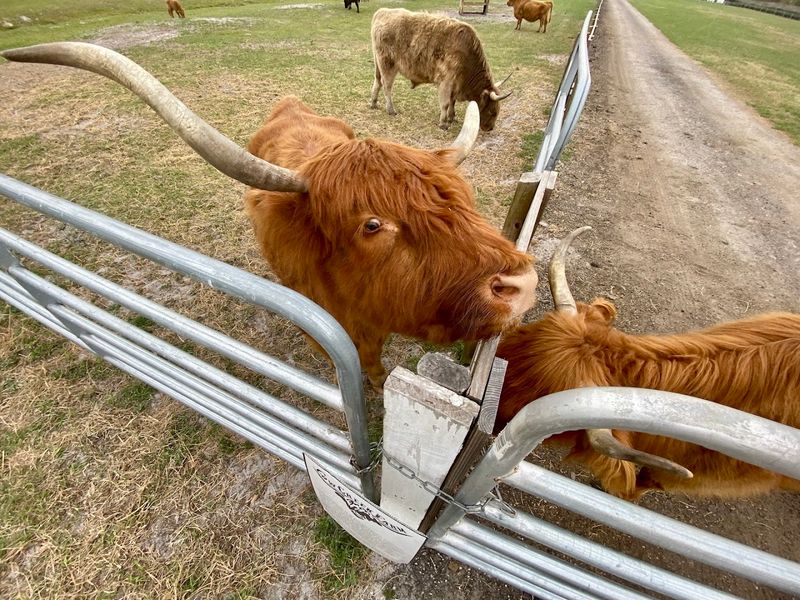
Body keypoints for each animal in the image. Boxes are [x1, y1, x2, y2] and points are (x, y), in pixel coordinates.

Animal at [370, 8, 512, 131]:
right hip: (388, 65)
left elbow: (452, 101)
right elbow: (446, 103)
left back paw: (373, 103)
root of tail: (382, 12)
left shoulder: (455, 84)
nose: (490, 128)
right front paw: (443, 123)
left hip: (378, 64)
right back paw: (391, 110)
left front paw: (452, 117)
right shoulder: (446, 81)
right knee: (387, 86)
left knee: (377, 82)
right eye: (492, 112)